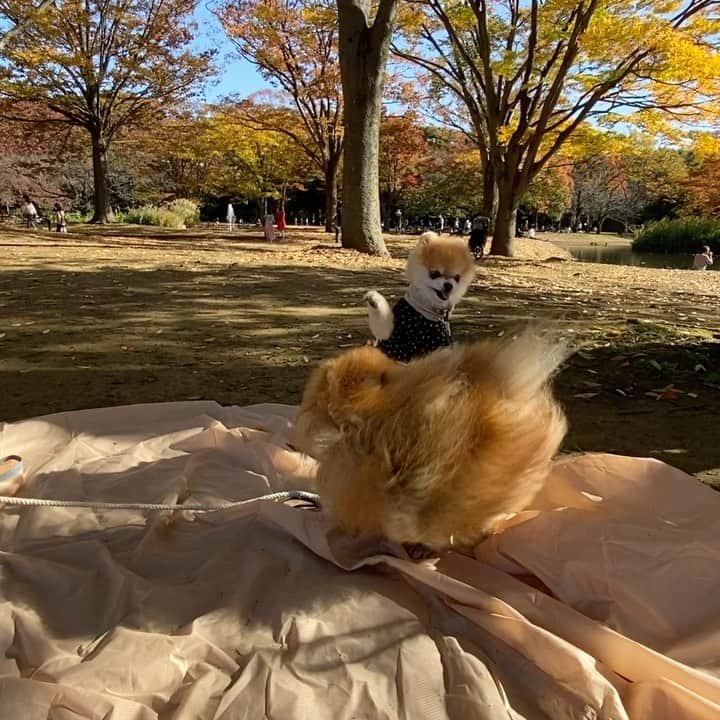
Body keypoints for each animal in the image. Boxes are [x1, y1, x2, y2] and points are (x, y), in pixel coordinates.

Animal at [366, 232, 478, 362]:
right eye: (434, 274)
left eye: (457, 278)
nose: (449, 285)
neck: (428, 308)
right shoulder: (391, 334)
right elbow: (382, 326)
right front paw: (375, 301)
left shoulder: (441, 342)